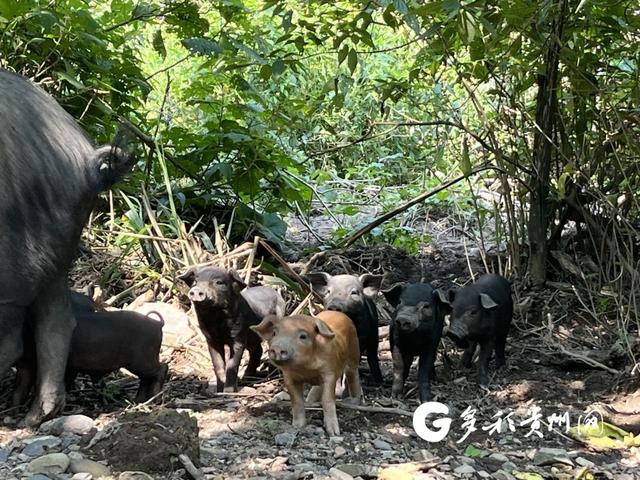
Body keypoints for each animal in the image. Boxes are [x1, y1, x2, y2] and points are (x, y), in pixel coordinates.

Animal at [176, 266, 284, 394]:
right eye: (195, 282)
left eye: (219, 282)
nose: (197, 290)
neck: (216, 318)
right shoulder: (211, 339)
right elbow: (217, 364)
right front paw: (218, 391)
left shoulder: (238, 334)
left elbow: (232, 364)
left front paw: (229, 392)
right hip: (252, 338)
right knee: (257, 350)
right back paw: (246, 379)